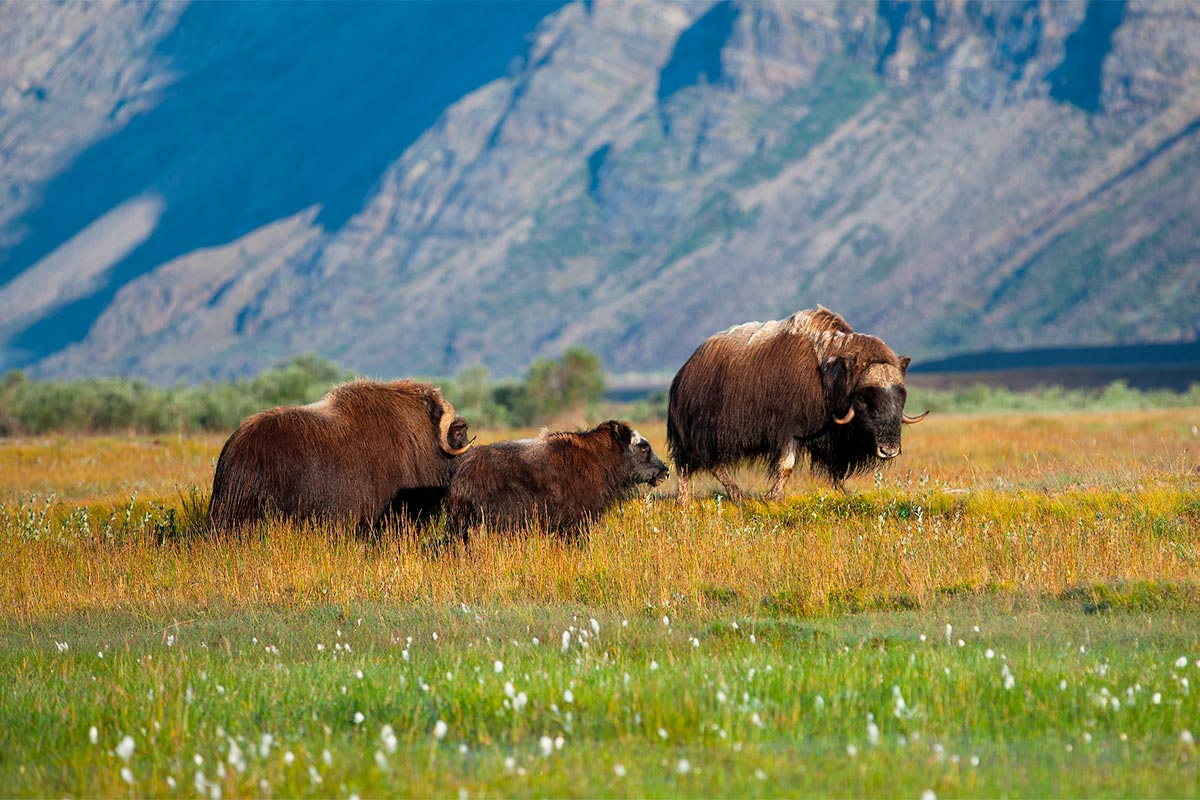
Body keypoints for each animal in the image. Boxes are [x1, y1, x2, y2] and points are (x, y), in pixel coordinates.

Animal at [667, 304, 926, 501]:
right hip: (697, 434)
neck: (829, 376)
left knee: (711, 463)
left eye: (901, 394)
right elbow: (786, 465)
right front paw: (774, 497)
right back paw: (688, 499)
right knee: (690, 465)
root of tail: (683, 372)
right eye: (864, 397)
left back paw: (737, 496)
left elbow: (837, 470)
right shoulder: (788, 429)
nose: (889, 450)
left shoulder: (833, 437)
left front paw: (846, 493)